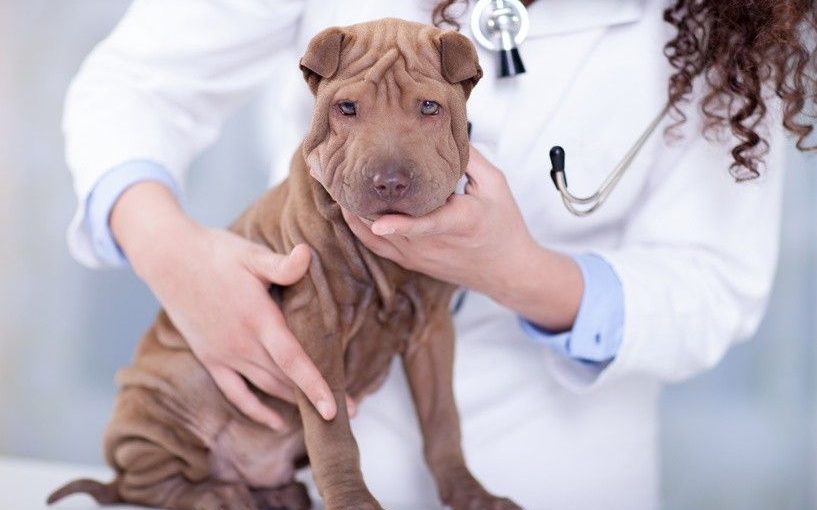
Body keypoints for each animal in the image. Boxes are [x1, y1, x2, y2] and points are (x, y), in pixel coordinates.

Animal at [51, 17, 520, 508]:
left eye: (430, 106)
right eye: (347, 108)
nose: (389, 181)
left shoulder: (432, 331)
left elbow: (443, 419)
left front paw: (472, 494)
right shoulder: (316, 328)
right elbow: (334, 434)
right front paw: (353, 501)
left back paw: (275, 495)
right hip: (169, 396)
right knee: (145, 482)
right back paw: (215, 494)